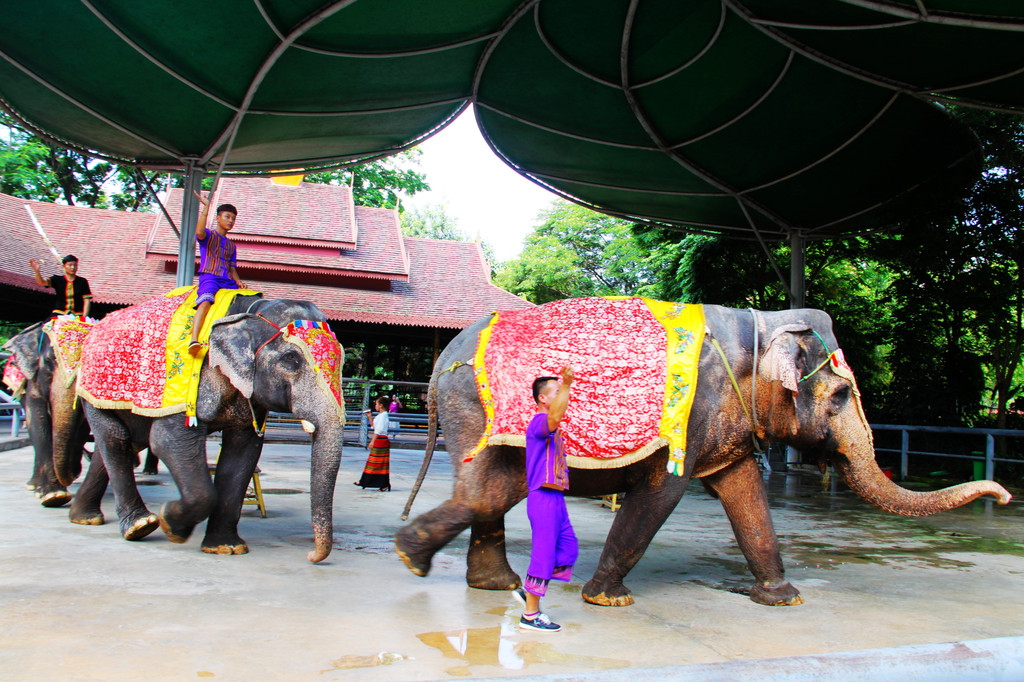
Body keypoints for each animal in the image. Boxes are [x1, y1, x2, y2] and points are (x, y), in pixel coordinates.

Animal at [75, 294, 346, 561]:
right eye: (291, 359)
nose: (310, 555)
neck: (246, 311)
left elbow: (243, 452)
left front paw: (226, 548)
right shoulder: (187, 388)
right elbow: (166, 441)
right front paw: (171, 524)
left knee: (121, 442)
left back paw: (85, 517)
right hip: (92, 389)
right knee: (115, 439)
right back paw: (140, 526)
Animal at [395, 299, 1011, 606]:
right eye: (839, 397)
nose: (1004, 497)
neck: (760, 329)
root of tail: (439, 366)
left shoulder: (726, 421)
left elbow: (745, 494)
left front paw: (782, 599)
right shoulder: (693, 411)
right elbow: (662, 492)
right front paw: (609, 600)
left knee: (490, 488)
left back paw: (492, 585)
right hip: (474, 405)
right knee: (490, 489)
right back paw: (412, 556)